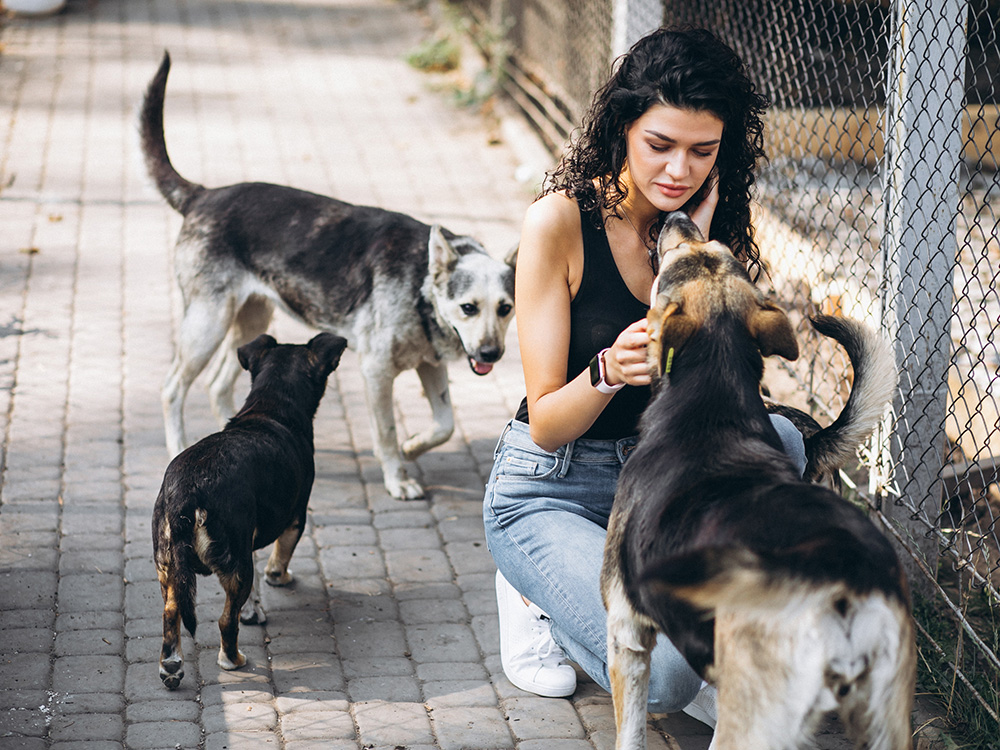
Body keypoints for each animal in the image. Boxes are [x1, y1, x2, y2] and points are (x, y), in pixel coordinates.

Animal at [141, 51, 516, 500]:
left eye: (507, 309)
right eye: (468, 307)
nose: (491, 355)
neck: (420, 285)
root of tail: (204, 194)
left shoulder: (430, 365)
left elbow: (445, 425)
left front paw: (413, 447)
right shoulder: (376, 372)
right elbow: (386, 433)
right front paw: (397, 477)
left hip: (252, 319)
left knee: (217, 386)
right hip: (207, 324)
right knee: (171, 389)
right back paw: (178, 446)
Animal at [152, 332, 348, 692]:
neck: (270, 407)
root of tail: (188, 492)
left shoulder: (249, 537)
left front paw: (254, 607)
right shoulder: (295, 518)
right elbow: (279, 557)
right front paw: (279, 577)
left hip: (170, 567)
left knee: (171, 612)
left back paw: (171, 666)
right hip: (236, 565)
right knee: (225, 622)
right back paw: (233, 659)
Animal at [600, 213, 916, 750]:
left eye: (682, 256)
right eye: (716, 250)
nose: (678, 217)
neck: (713, 398)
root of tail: (844, 575)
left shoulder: (627, 635)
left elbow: (630, 735)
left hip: (752, 714)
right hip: (883, 721)